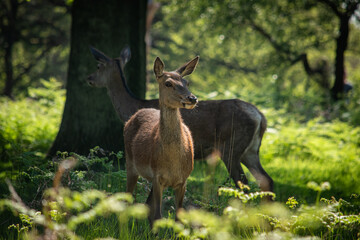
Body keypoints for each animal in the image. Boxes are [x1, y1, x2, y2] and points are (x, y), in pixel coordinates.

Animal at [87, 46, 272, 193]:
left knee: (244, 182)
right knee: (266, 180)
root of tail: (260, 117)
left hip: (231, 147)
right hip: (251, 150)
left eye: (98, 66)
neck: (132, 107)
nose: (89, 78)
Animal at [124, 56, 198, 225]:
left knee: (146, 205)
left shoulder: (183, 180)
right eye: (168, 83)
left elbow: (178, 218)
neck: (173, 163)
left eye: (187, 83)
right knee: (127, 200)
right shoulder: (158, 177)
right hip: (130, 163)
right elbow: (158, 215)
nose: (192, 98)